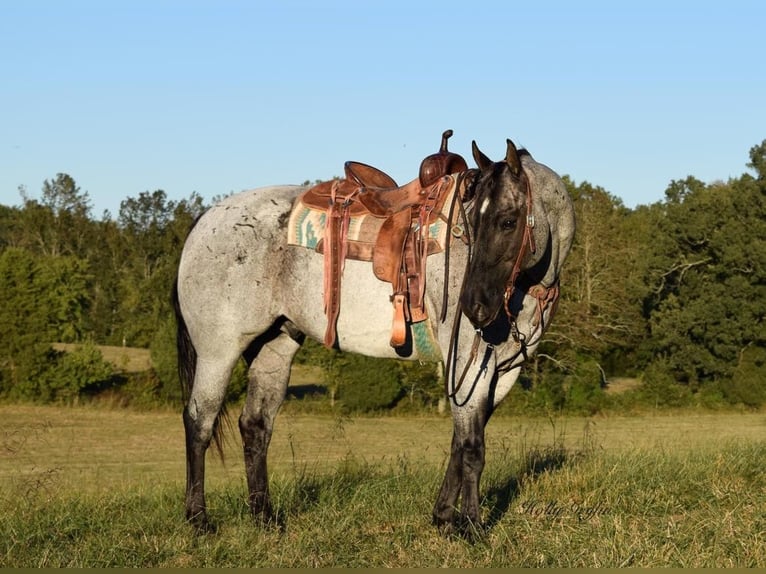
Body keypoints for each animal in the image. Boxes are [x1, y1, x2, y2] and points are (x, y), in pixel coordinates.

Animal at [174, 133, 576, 536]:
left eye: (508, 221)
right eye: (467, 226)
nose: (474, 307)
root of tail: (207, 218)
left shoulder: (503, 370)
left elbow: (459, 445)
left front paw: (444, 517)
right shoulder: (469, 360)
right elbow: (472, 448)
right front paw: (472, 527)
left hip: (274, 347)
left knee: (256, 426)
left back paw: (265, 518)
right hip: (218, 352)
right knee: (199, 422)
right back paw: (198, 519)